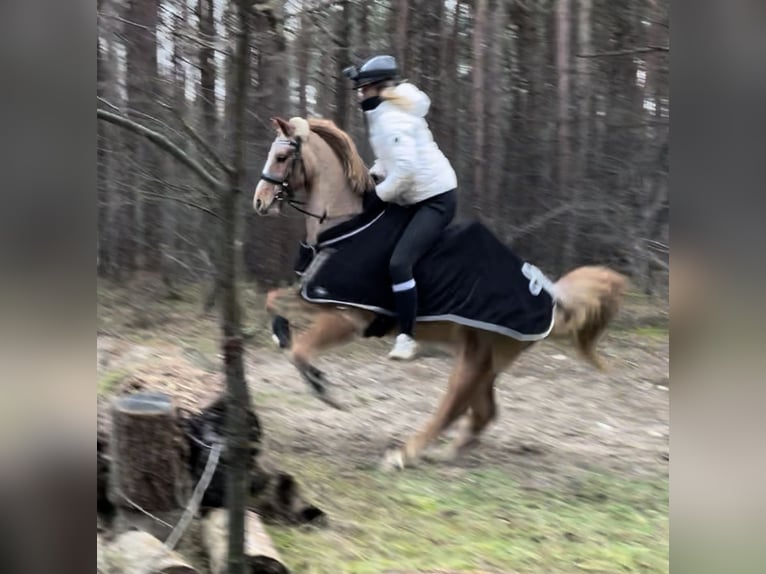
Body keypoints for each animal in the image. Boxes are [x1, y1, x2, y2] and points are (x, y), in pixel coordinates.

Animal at [252, 115, 627, 471]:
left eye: (282, 157)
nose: (260, 201)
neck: (345, 224)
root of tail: (550, 296)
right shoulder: (320, 298)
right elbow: (273, 303)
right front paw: (281, 336)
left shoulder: (348, 317)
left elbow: (301, 350)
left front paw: (321, 386)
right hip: (482, 360)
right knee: (483, 413)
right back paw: (446, 453)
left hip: (474, 359)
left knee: (453, 407)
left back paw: (404, 454)